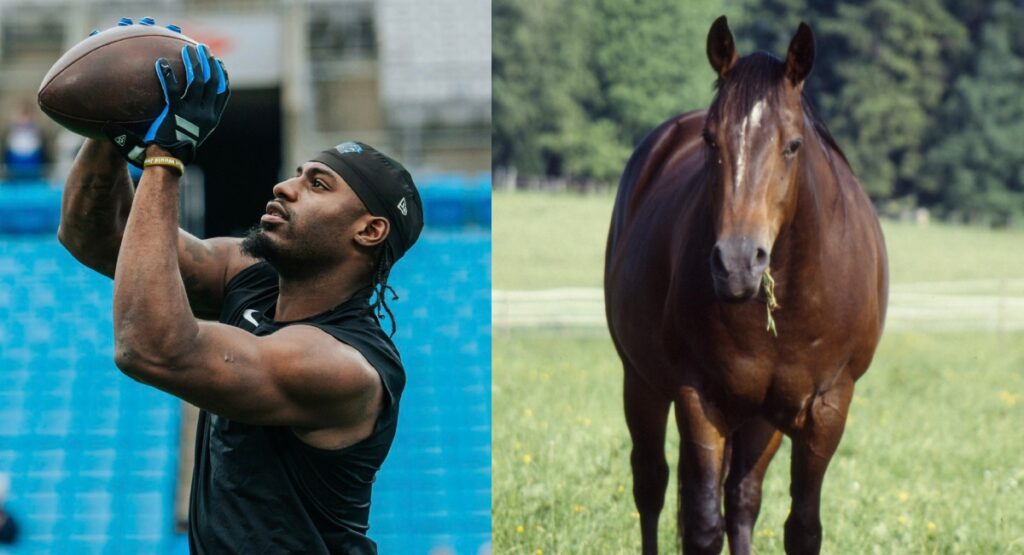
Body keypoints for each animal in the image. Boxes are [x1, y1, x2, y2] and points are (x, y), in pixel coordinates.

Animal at [604, 16, 888, 555]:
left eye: (793, 145)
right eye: (711, 142)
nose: (737, 263)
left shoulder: (826, 407)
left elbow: (801, 528)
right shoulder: (700, 399)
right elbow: (702, 528)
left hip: (761, 418)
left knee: (742, 498)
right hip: (640, 381)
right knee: (650, 484)